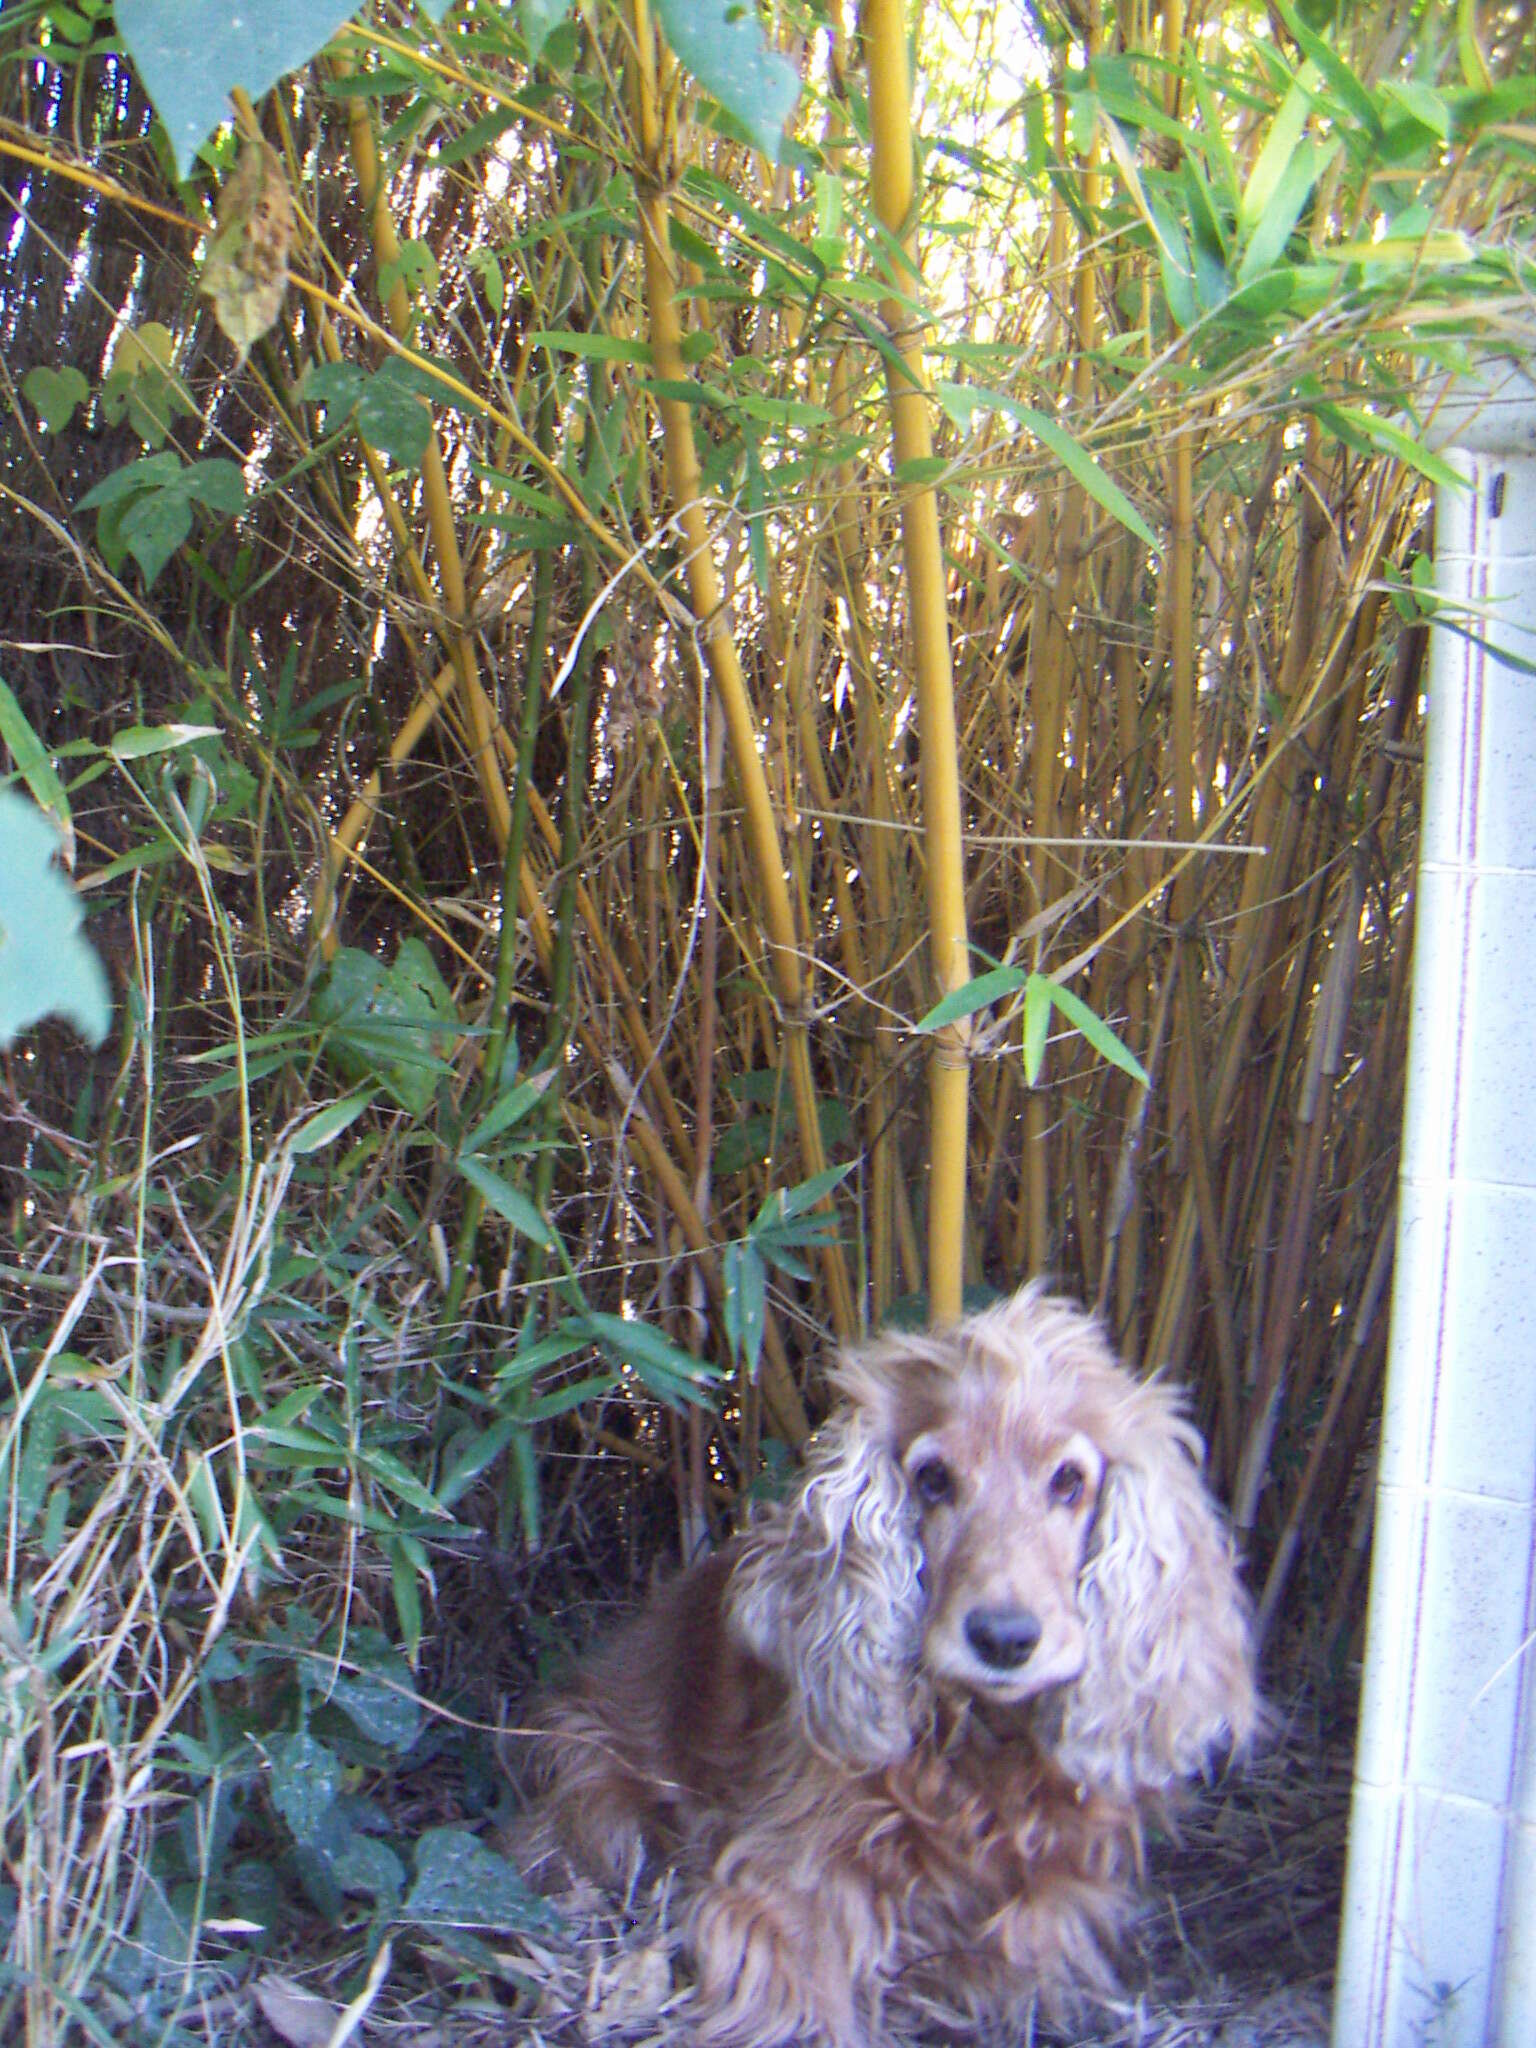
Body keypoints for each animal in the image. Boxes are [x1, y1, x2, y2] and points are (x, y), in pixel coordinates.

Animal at [520, 1286, 1261, 2039]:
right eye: (933, 1479)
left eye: (1068, 1482)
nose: (1004, 1638)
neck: (979, 1755)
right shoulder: (779, 1890)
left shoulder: (1046, 1916)